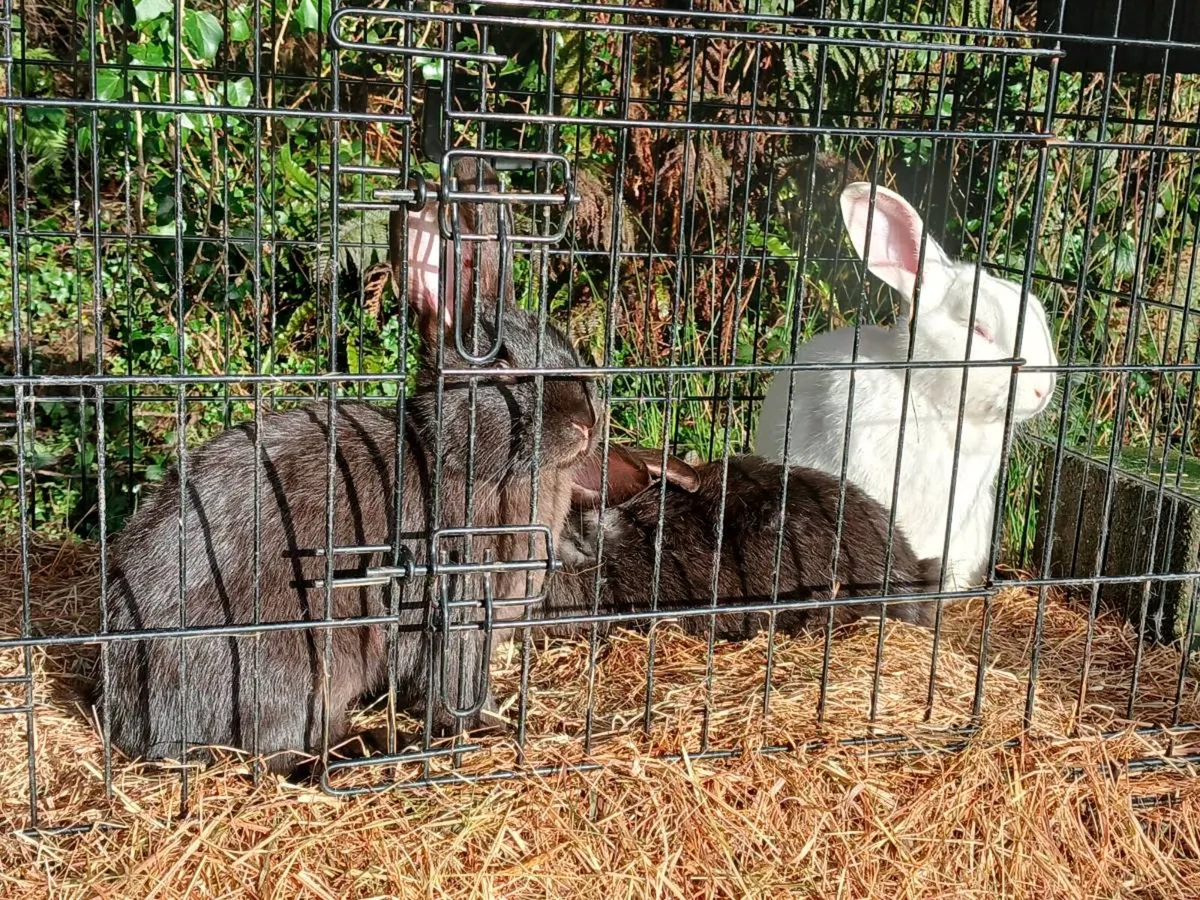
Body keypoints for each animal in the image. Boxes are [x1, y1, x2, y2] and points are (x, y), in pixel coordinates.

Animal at [94, 159, 600, 775]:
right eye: (501, 366)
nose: (587, 421)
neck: (459, 460)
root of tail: (136, 720)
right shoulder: (456, 614)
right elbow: (452, 691)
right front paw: (482, 730)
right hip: (296, 664)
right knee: (285, 752)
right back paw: (371, 746)